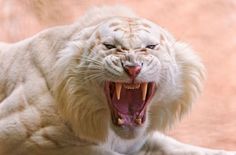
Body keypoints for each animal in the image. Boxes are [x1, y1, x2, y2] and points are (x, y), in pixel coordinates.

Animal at [0, 5, 235, 154]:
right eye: (110, 46)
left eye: (150, 46)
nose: (133, 68)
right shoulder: (18, 135)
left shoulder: (141, 141)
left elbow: (179, 146)